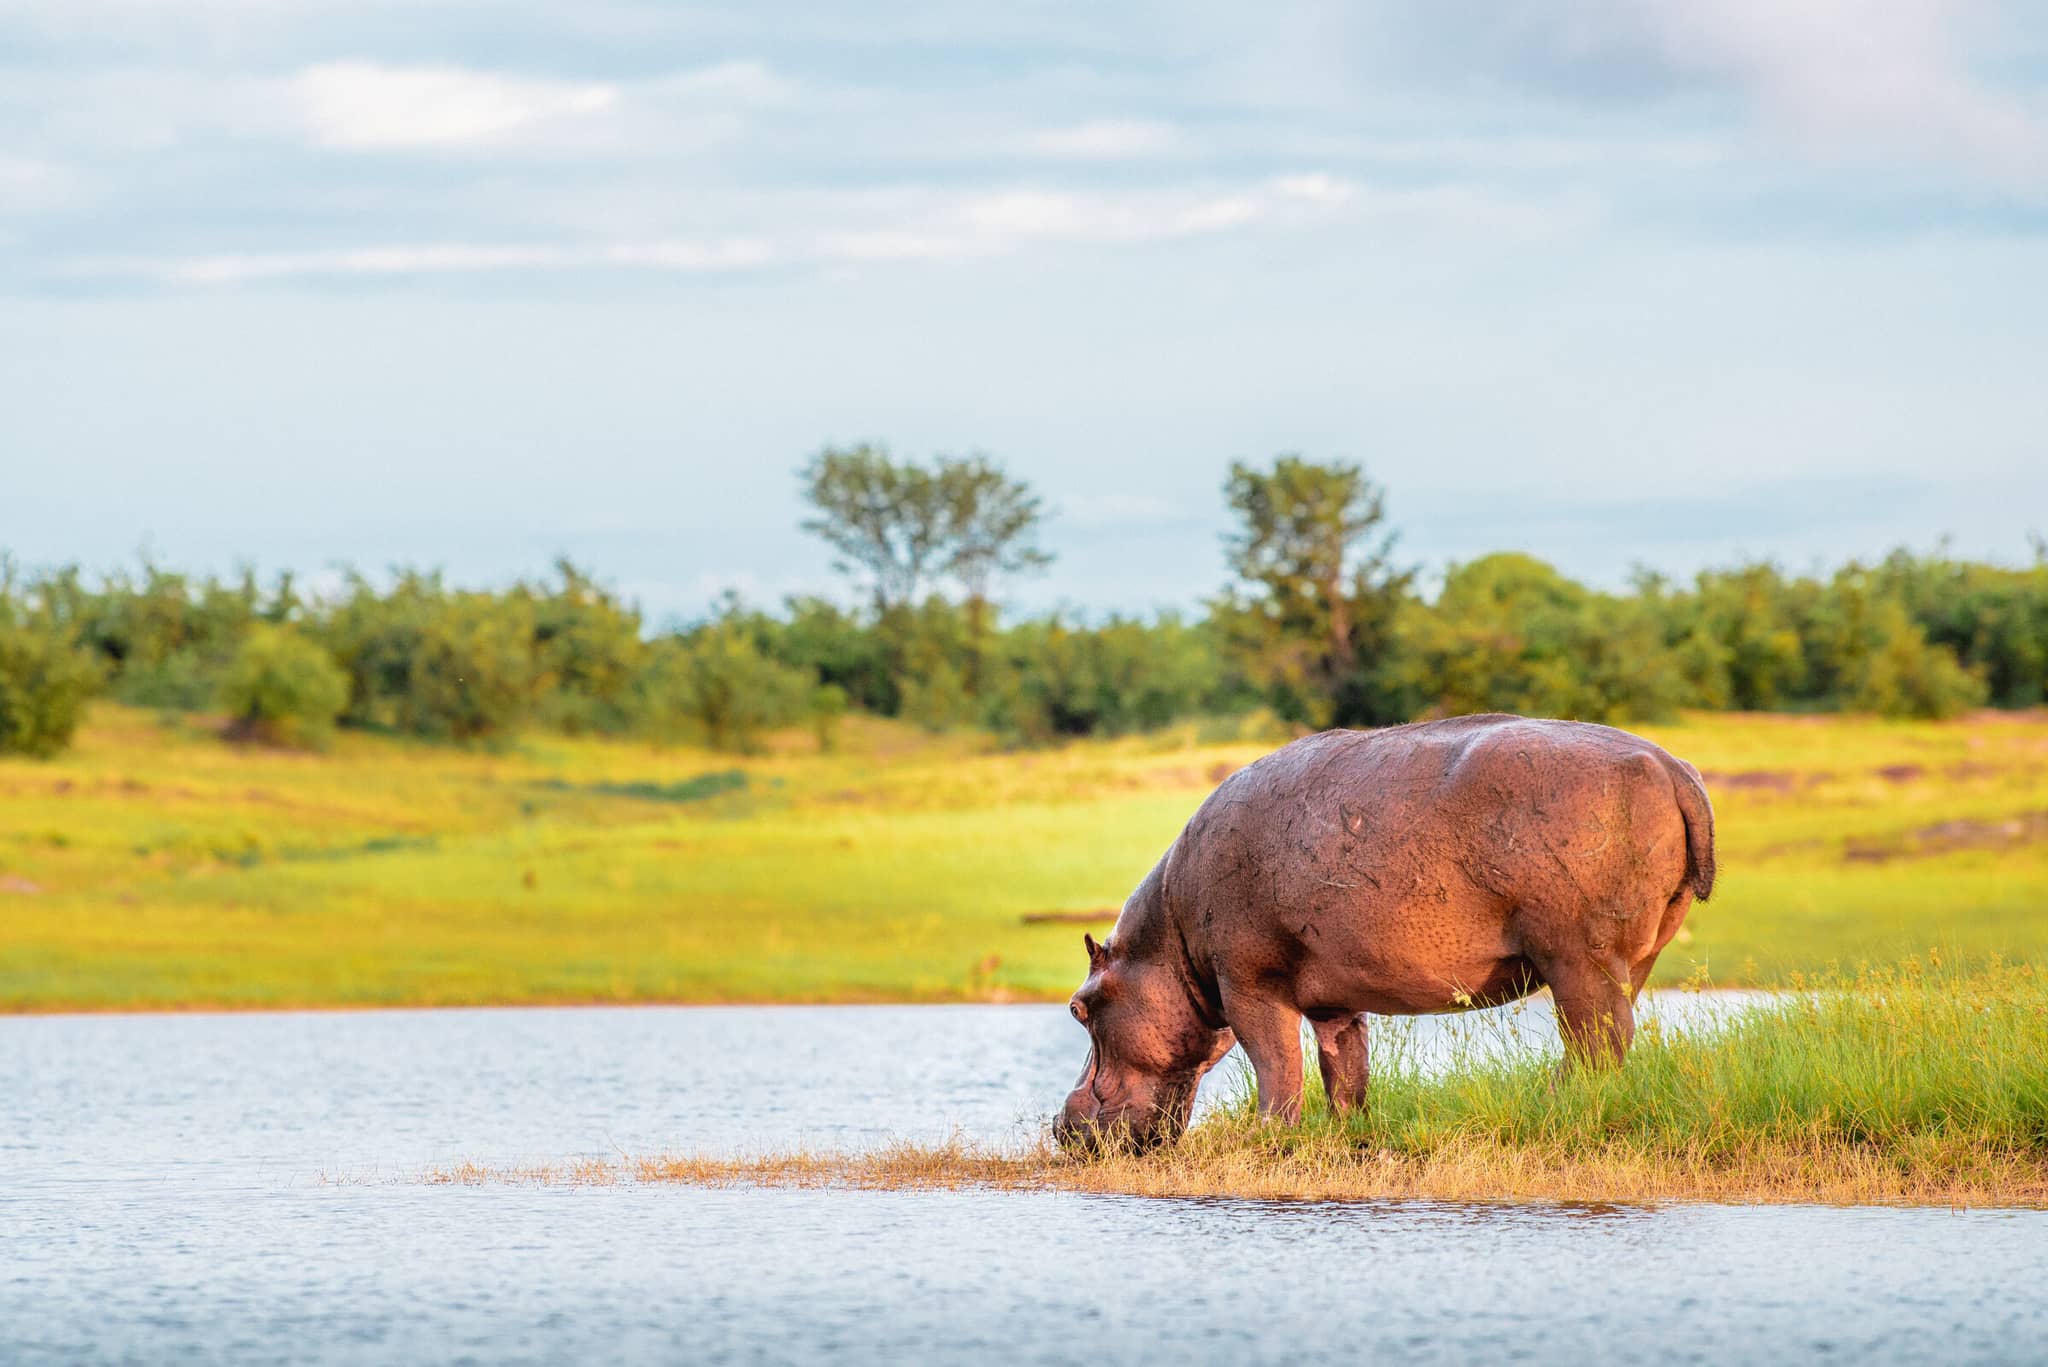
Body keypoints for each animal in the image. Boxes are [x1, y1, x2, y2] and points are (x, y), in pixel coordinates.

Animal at [1055, 714, 1716, 1150]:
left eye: (1077, 1008)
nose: (1061, 1125)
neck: (1166, 943)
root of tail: (1673, 767)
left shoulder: (1247, 983)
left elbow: (1276, 1064)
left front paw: (1265, 1138)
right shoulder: (1335, 1001)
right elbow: (1344, 1068)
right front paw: (1350, 1133)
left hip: (1579, 957)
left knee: (1598, 1043)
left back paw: (1551, 1111)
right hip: (1633, 957)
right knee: (1609, 1037)